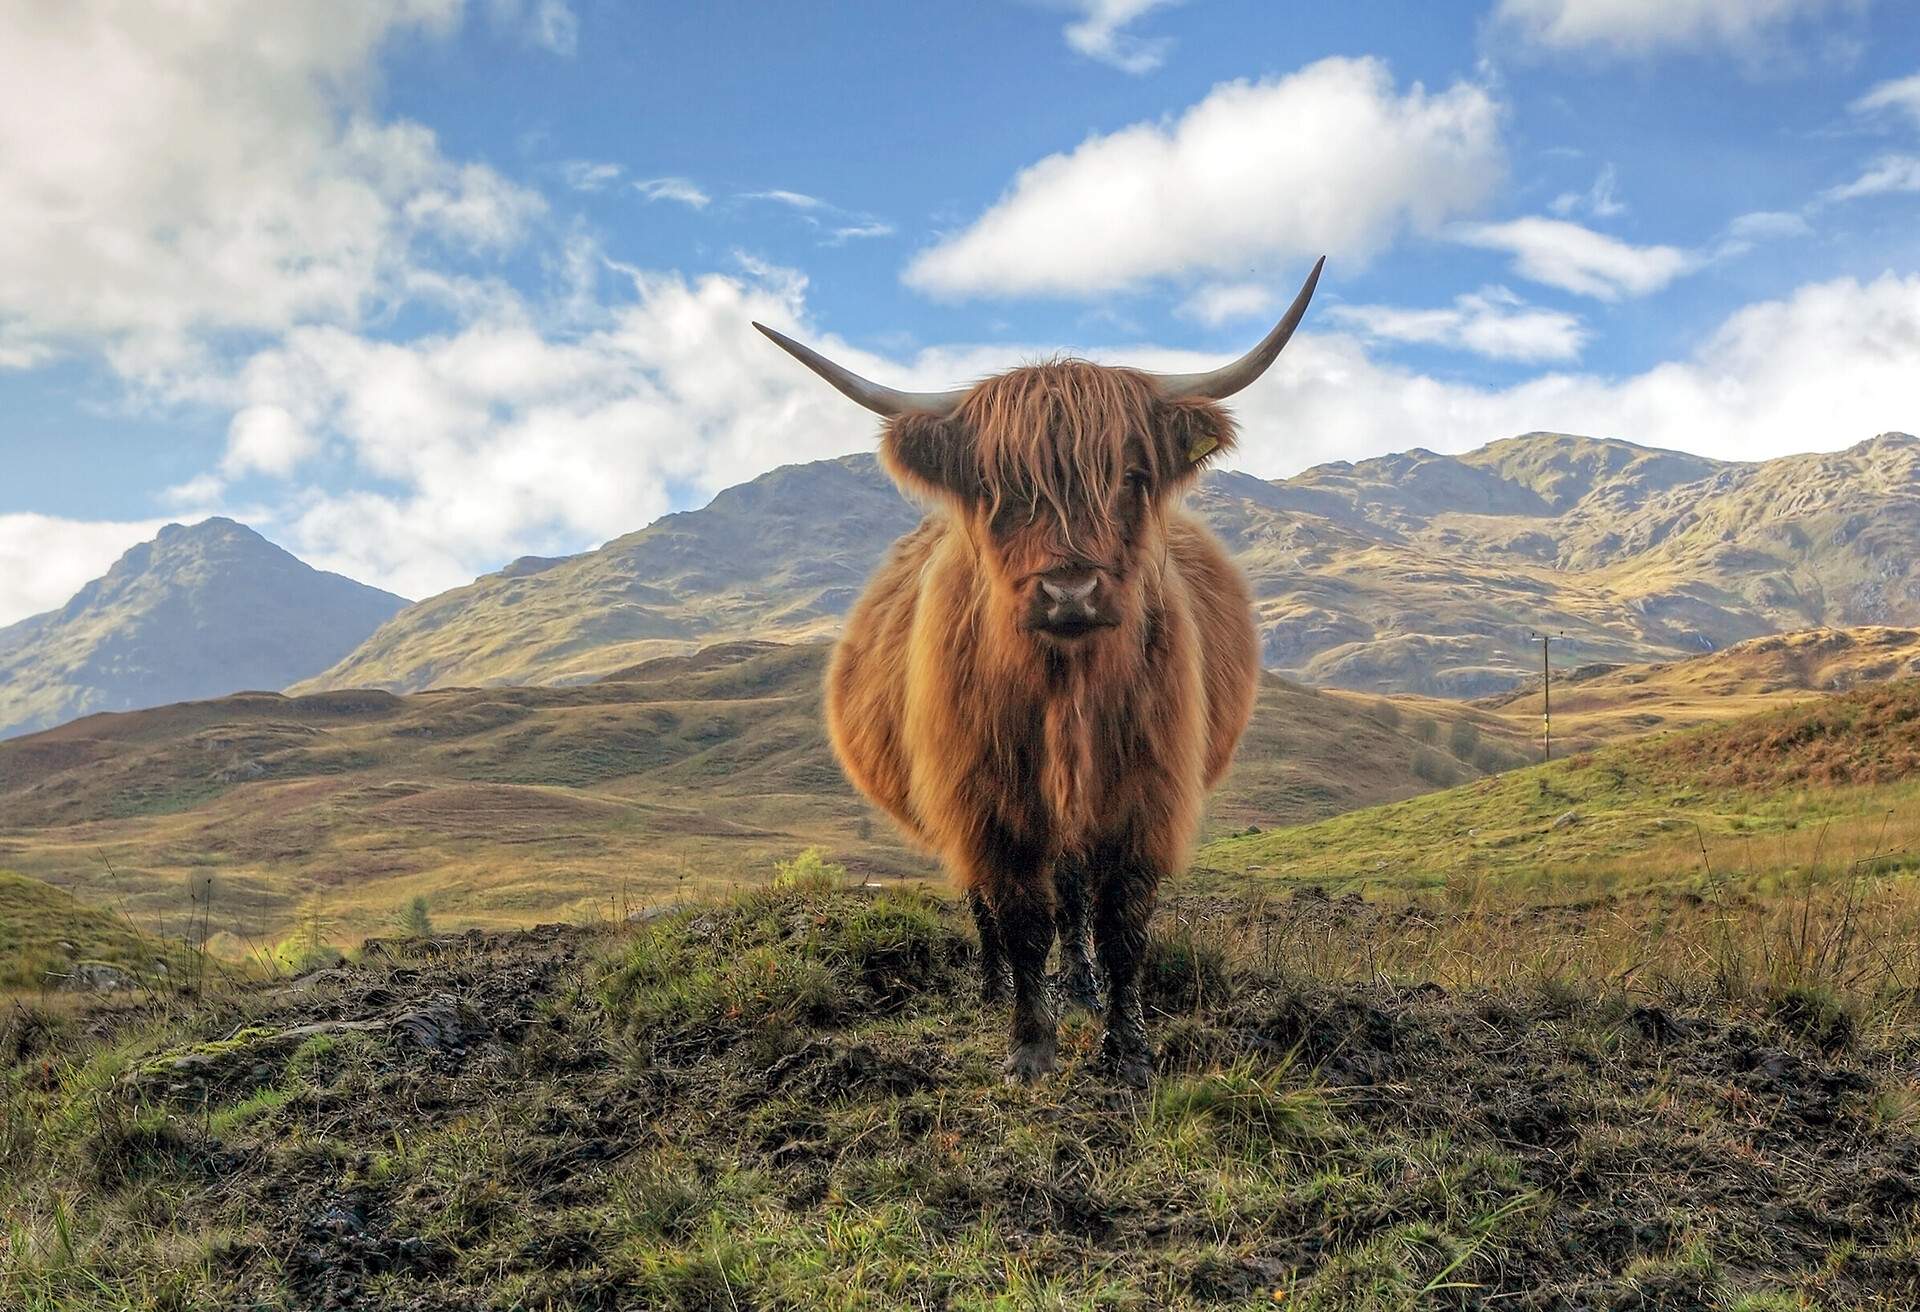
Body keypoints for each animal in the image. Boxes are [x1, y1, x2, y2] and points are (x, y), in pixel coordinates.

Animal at [748, 259, 1320, 1091]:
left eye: (1132, 476)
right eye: (997, 488)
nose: (1070, 591)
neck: (1064, 692)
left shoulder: (1144, 796)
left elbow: (1120, 925)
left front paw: (1127, 1051)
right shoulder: (982, 799)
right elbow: (1018, 918)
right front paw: (1028, 1045)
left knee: (1073, 896)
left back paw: (1078, 988)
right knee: (989, 902)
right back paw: (993, 989)